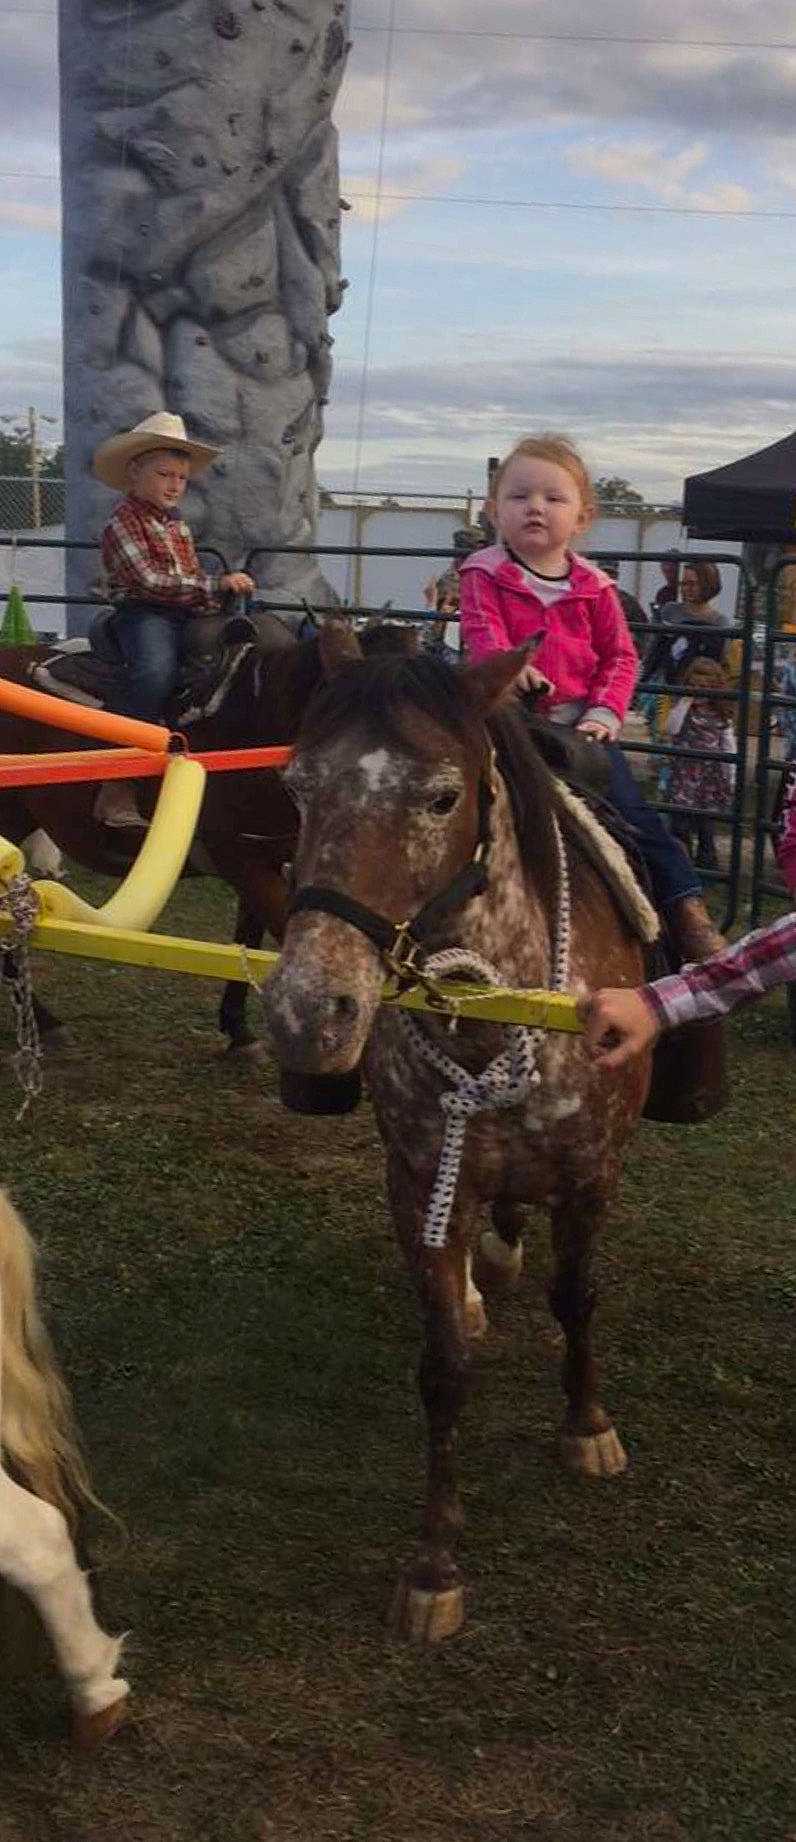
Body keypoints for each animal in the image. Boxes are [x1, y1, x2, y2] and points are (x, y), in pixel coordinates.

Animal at [0, 617, 359, 1052]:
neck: (257, 717)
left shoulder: (267, 859)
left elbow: (249, 936)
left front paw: (238, 1028)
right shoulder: (244, 863)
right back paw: (45, 1022)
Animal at [263, 646, 653, 1641]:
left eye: (443, 797)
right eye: (295, 785)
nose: (307, 1012)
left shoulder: (594, 1176)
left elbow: (577, 1298)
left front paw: (588, 1427)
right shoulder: (416, 1187)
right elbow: (443, 1369)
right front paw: (434, 1568)